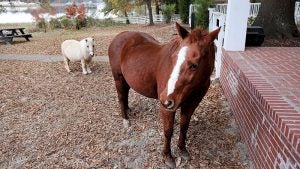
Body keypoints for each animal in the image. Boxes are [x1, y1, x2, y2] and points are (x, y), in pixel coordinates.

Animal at [108, 23, 220, 168]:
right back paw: (125, 119)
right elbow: (168, 131)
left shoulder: (191, 104)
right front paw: (167, 156)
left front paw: (182, 149)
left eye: (194, 65)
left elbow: (184, 126)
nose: (165, 99)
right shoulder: (167, 108)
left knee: (125, 94)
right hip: (118, 78)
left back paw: (128, 110)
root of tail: (119, 36)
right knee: (121, 97)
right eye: (173, 58)